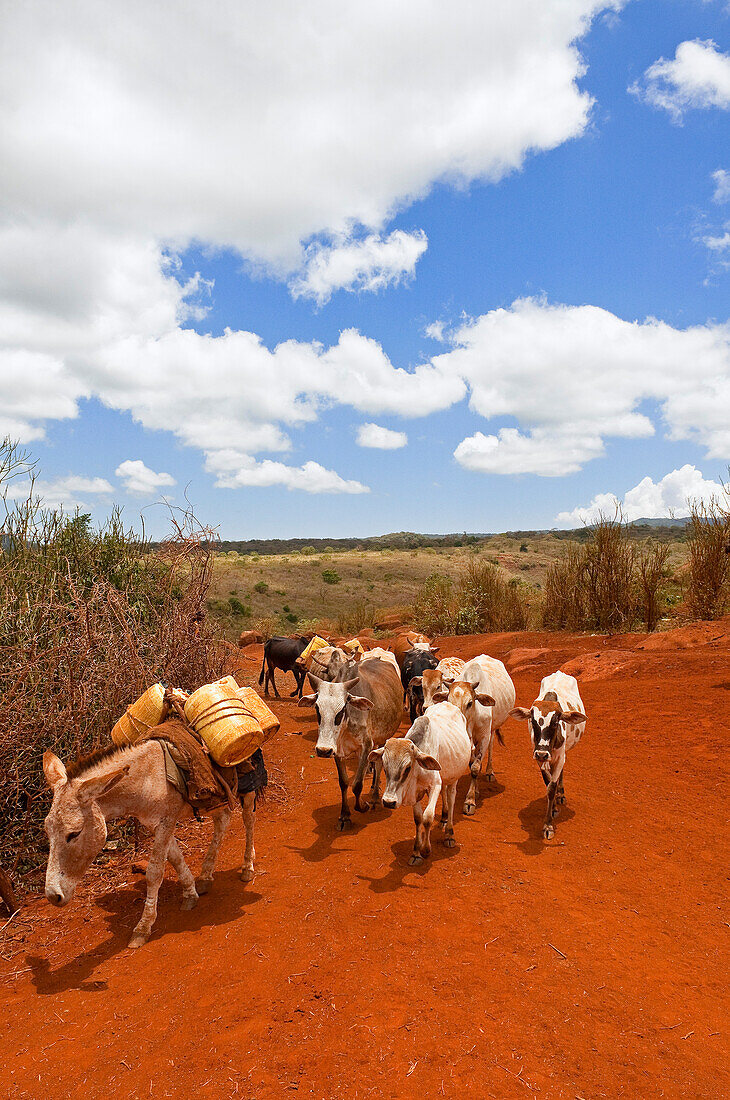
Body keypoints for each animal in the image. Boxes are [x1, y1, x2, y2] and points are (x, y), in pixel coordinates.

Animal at [367, 699, 470, 862]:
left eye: (407, 767)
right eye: (384, 764)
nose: (389, 802)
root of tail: (447, 703)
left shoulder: (435, 785)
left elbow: (427, 817)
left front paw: (426, 849)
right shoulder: (415, 792)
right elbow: (418, 818)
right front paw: (416, 851)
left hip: (454, 777)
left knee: (451, 797)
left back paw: (449, 833)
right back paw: (444, 818)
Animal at [507, 668, 589, 840]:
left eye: (555, 722)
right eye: (532, 721)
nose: (542, 753)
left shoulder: (558, 757)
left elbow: (552, 786)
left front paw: (548, 825)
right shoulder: (539, 758)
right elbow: (548, 783)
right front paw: (553, 809)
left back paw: (561, 794)